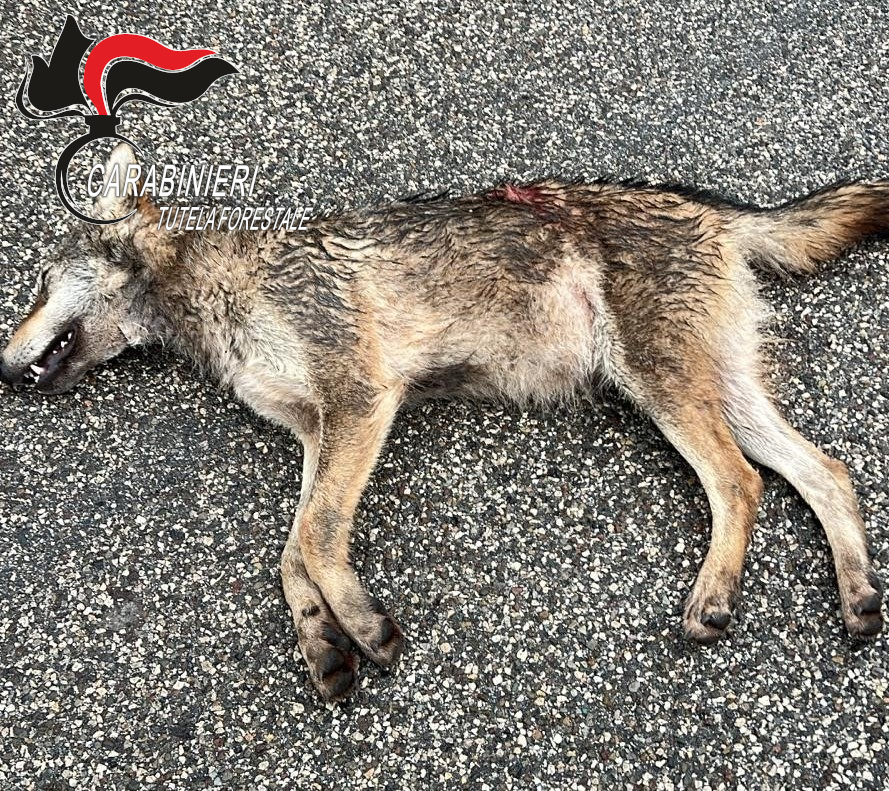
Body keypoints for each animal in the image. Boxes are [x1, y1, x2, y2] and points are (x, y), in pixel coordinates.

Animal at [1, 144, 884, 700]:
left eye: (38, 286)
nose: (4, 369)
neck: (219, 286)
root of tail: (714, 209)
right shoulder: (317, 432)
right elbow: (289, 556)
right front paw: (323, 644)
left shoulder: (360, 403)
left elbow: (314, 537)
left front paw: (364, 626)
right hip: (713, 390)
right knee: (825, 473)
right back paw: (857, 597)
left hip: (660, 386)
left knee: (739, 480)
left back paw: (712, 596)